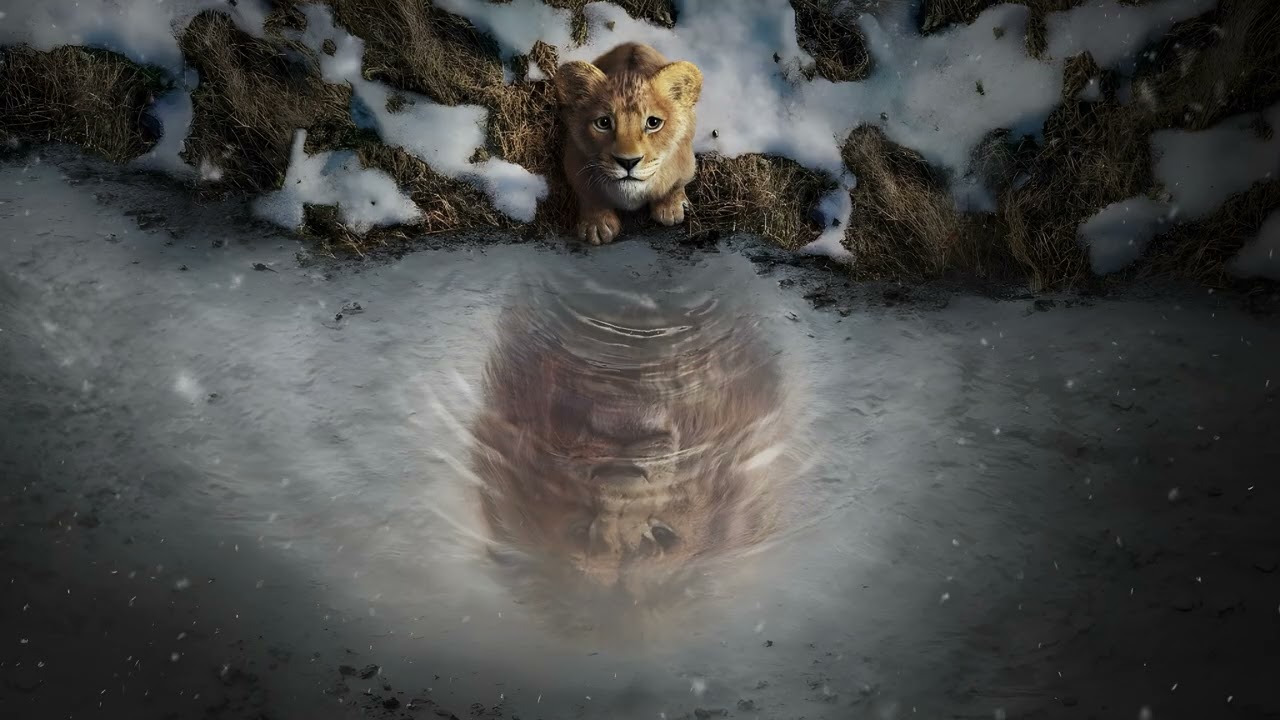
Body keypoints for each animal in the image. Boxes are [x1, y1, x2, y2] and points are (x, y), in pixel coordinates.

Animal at [554, 42, 703, 245]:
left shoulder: (686, 161)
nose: (628, 162)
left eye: (653, 123)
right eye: (603, 123)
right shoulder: (574, 162)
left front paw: (670, 208)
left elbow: (676, 185)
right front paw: (596, 225)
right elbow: (589, 195)